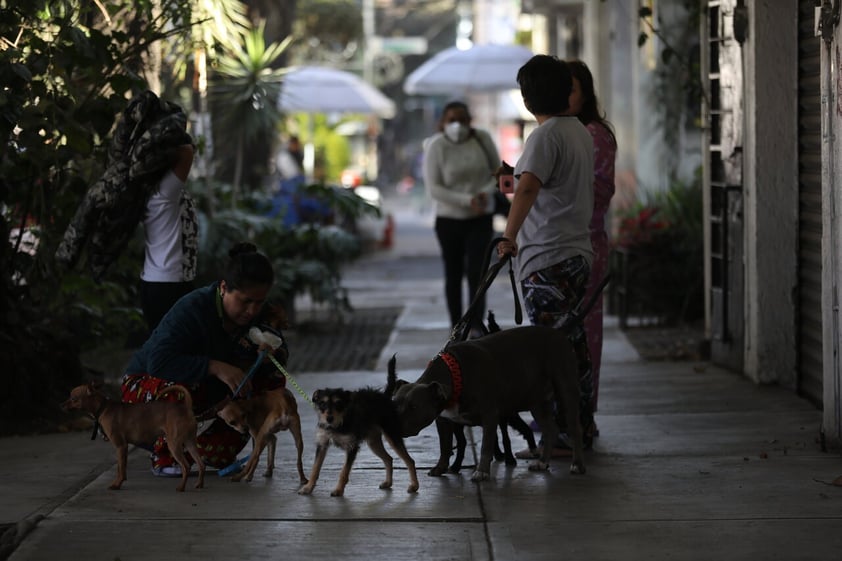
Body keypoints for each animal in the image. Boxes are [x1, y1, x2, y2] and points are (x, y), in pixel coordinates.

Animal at [62, 380, 205, 490]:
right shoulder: (120, 448)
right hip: (190, 443)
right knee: (201, 464)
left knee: (186, 466)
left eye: (73, 399)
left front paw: (117, 485)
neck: (103, 408)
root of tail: (186, 408)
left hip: (173, 444)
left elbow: (121, 468)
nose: (61, 404)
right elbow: (120, 467)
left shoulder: (121, 446)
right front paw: (118, 482)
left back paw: (181, 487)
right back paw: (199, 484)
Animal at [388, 324, 580, 482]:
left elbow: (486, 446)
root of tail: (559, 334)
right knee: (551, 429)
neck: (455, 376)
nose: (393, 428)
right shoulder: (442, 419)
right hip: (537, 402)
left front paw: (482, 472)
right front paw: (440, 468)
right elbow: (445, 445)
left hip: (566, 390)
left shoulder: (489, 415)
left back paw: (577, 465)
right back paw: (542, 462)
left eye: (414, 407)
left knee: (574, 428)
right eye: (394, 405)